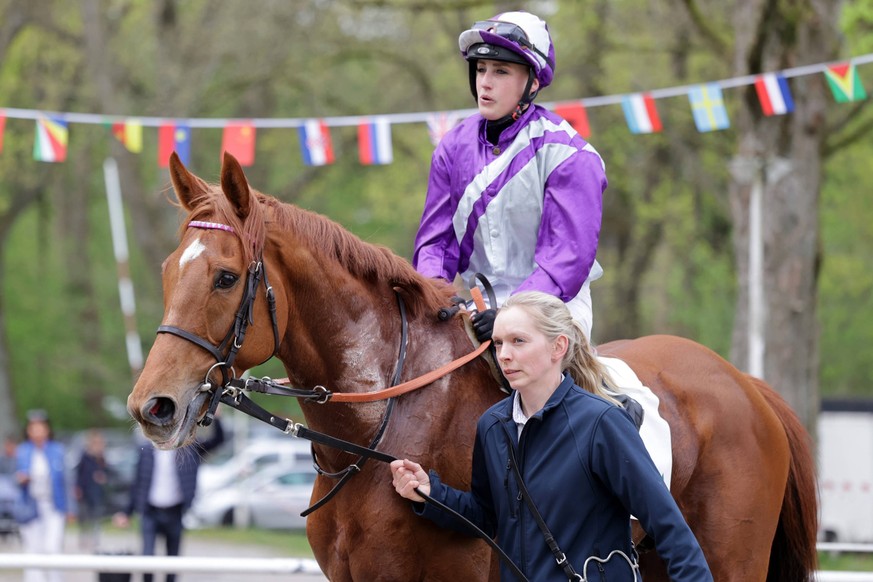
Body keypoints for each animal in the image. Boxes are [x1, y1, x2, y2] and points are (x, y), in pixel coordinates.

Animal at [127, 152, 818, 581]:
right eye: (165, 272)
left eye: (225, 277)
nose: (152, 406)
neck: (383, 428)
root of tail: (747, 385)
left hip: (726, 559)